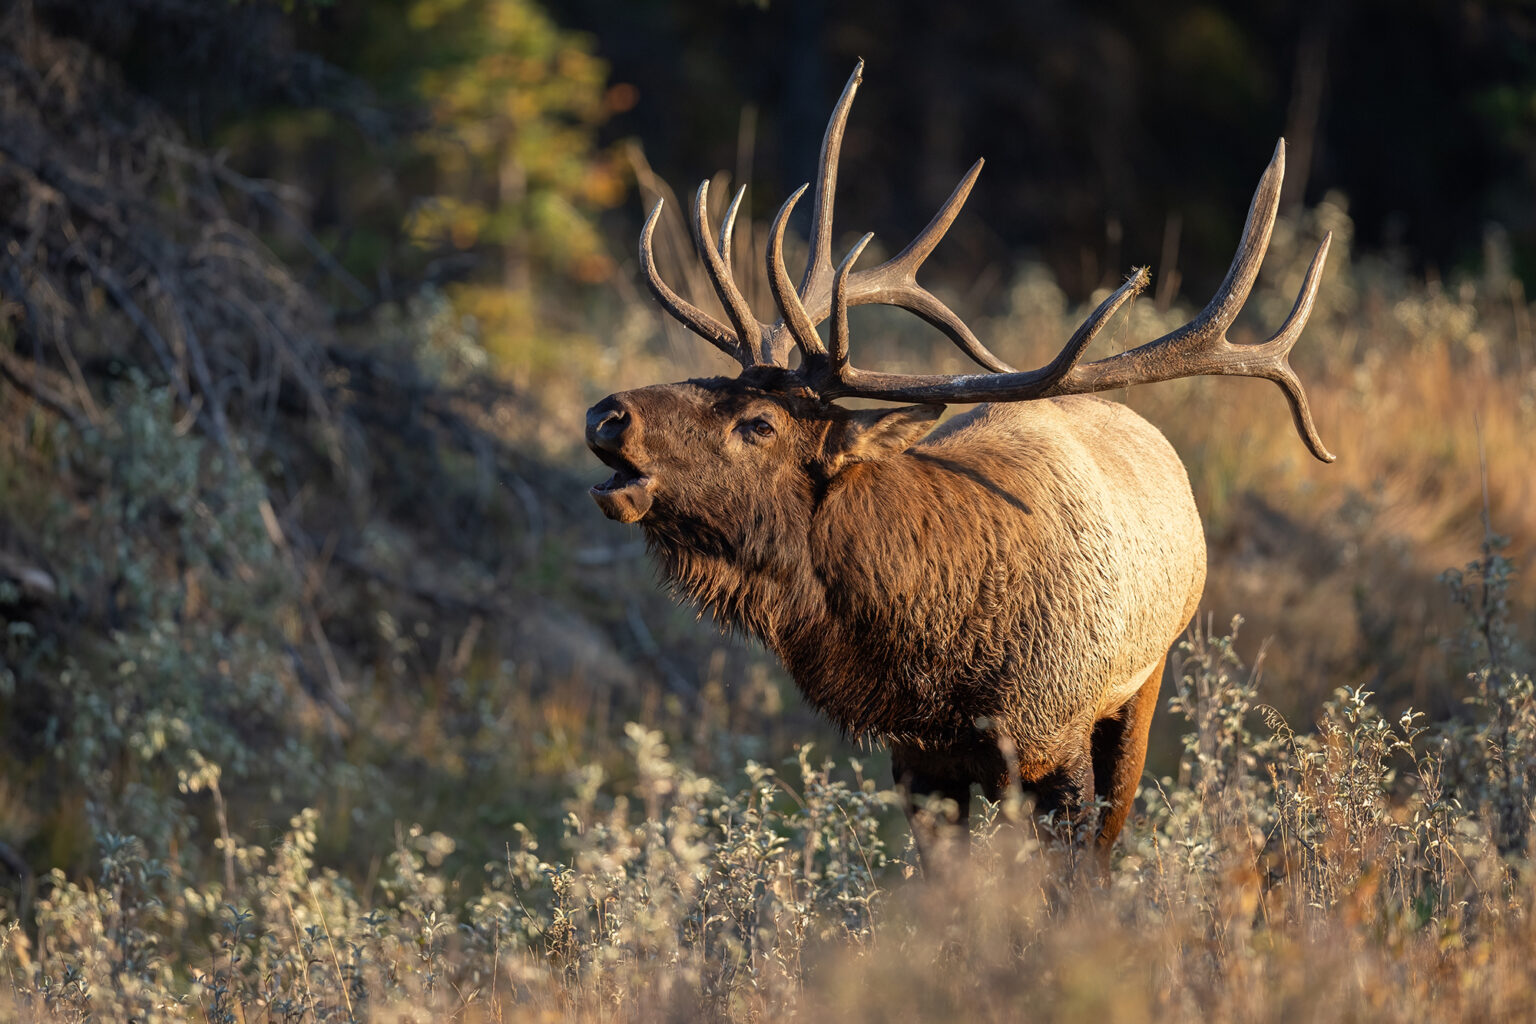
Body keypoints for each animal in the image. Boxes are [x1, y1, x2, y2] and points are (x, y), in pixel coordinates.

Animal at [586, 62, 1333, 860]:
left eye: (760, 423)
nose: (609, 414)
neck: (936, 662)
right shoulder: (918, 759)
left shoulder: (1057, 741)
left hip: (1145, 680)